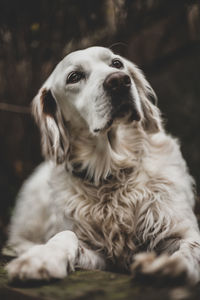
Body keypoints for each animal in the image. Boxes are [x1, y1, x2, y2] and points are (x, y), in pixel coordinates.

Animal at [4, 46, 200, 284]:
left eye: (116, 63)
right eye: (74, 77)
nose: (119, 81)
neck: (112, 171)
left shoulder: (179, 229)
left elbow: (190, 248)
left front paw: (167, 267)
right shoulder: (100, 255)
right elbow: (66, 234)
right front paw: (41, 258)